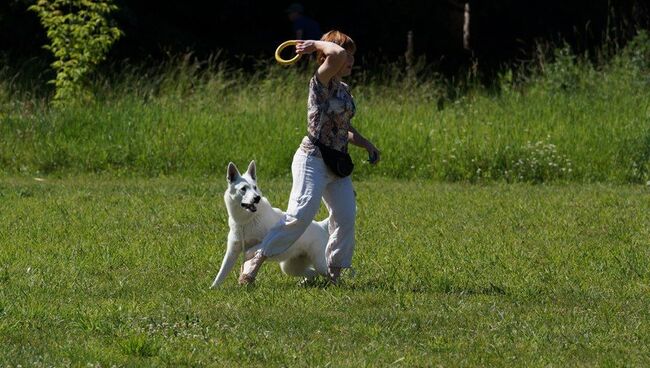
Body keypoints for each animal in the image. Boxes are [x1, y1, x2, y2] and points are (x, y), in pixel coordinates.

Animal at [209, 160, 326, 288]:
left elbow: (253, 250)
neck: (246, 221)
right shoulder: (232, 251)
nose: (257, 198)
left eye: (255, 187)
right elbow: (221, 273)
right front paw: (213, 288)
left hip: (320, 263)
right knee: (312, 273)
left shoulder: (269, 240)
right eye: (243, 188)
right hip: (289, 267)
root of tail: (321, 225)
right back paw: (304, 283)